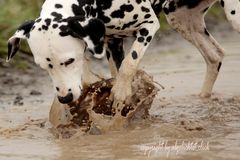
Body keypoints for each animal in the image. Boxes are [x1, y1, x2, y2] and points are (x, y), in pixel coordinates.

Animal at [7, 0, 240, 110]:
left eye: (69, 60)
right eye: (43, 67)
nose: (65, 98)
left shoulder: (148, 25)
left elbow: (129, 63)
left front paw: (120, 92)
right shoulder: (112, 42)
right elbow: (116, 71)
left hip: (234, 16)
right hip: (182, 20)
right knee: (215, 56)